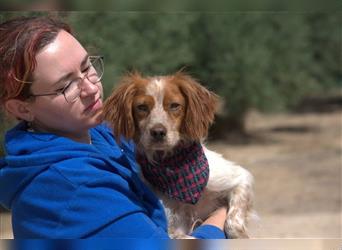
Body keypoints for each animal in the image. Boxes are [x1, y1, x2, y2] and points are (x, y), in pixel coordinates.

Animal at [103, 71, 255, 238]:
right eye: (141, 107)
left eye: (174, 105)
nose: (158, 132)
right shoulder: (173, 224)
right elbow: (184, 235)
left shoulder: (239, 178)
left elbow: (233, 222)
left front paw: (240, 235)